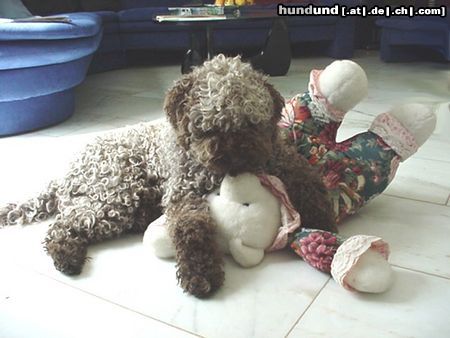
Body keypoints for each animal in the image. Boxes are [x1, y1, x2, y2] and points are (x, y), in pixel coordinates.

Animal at [0, 55, 334, 298]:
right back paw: (67, 255)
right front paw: (200, 274)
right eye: (208, 127)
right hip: (114, 194)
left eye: (251, 123)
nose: (235, 159)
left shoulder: (278, 156)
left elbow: (306, 177)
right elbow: (192, 229)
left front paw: (320, 217)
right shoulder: (185, 193)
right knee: (63, 226)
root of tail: (65, 175)